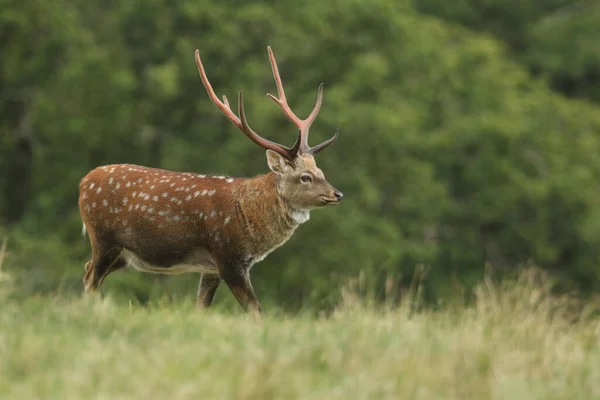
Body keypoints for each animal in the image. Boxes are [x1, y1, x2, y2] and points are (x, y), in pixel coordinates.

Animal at [77, 46, 344, 316]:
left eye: (320, 171)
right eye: (305, 177)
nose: (337, 194)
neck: (247, 216)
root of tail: (83, 182)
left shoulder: (210, 268)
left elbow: (202, 307)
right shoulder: (227, 256)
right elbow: (256, 310)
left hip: (120, 253)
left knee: (87, 271)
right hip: (103, 237)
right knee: (90, 280)